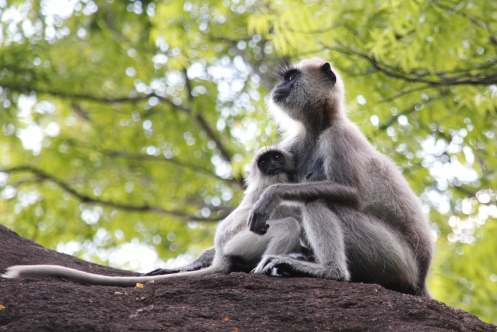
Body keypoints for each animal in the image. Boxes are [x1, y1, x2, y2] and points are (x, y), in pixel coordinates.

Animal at [1, 147, 302, 286]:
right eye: (265, 161)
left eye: (276, 158)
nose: (272, 164)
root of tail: (221, 253)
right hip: (240, 242)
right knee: (289, 225)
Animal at [248, 57, 434, 298]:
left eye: (291, 77)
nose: (279, 87)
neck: (320, 127)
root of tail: (421, 277)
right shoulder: (294, 146)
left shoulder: (338, 136)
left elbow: (351, 193)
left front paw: (270, 195)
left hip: (393, 256)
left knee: (315, 202)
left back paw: (330, 271)